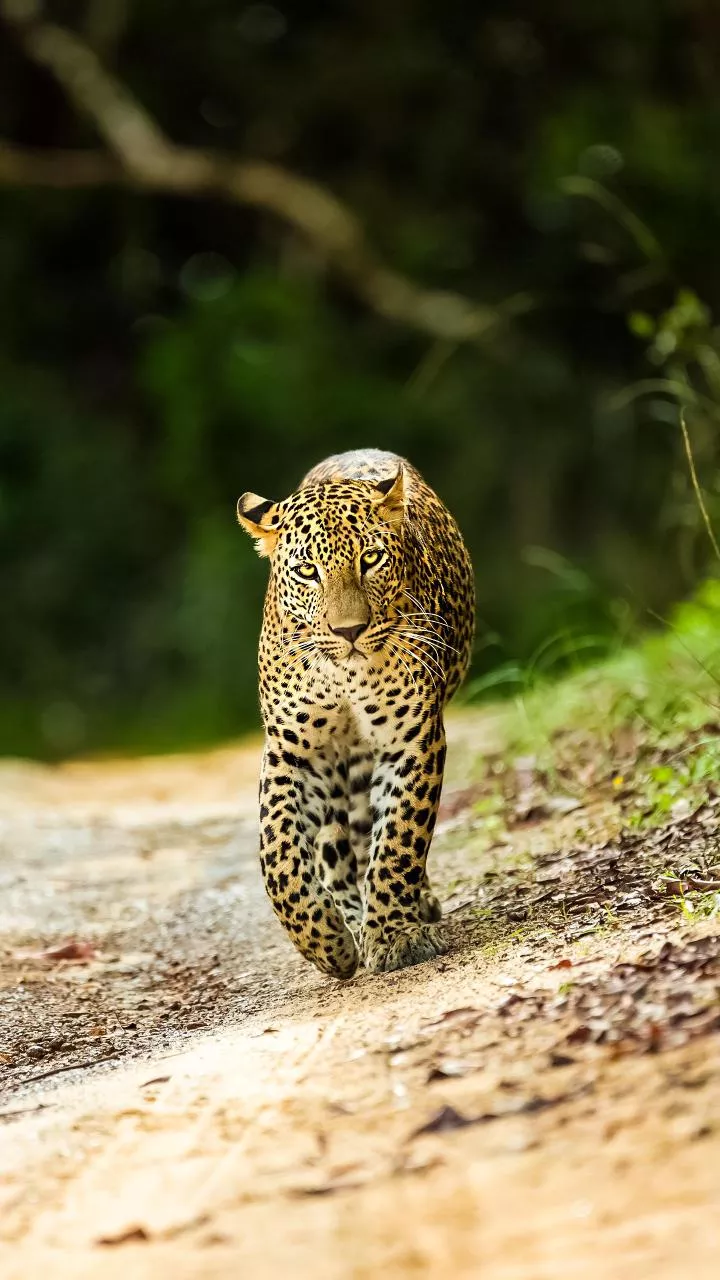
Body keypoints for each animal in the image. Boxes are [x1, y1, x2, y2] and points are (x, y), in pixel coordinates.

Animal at [237, 448, 475, 979]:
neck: (345, 676)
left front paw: (394, 934)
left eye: (371, 559)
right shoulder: (293, 751)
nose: (349, 631)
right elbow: (277, 853)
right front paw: (326, 941)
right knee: (334, 845)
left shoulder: (412, 738)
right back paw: (348, 917)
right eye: (308, 571)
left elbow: (400, 839)